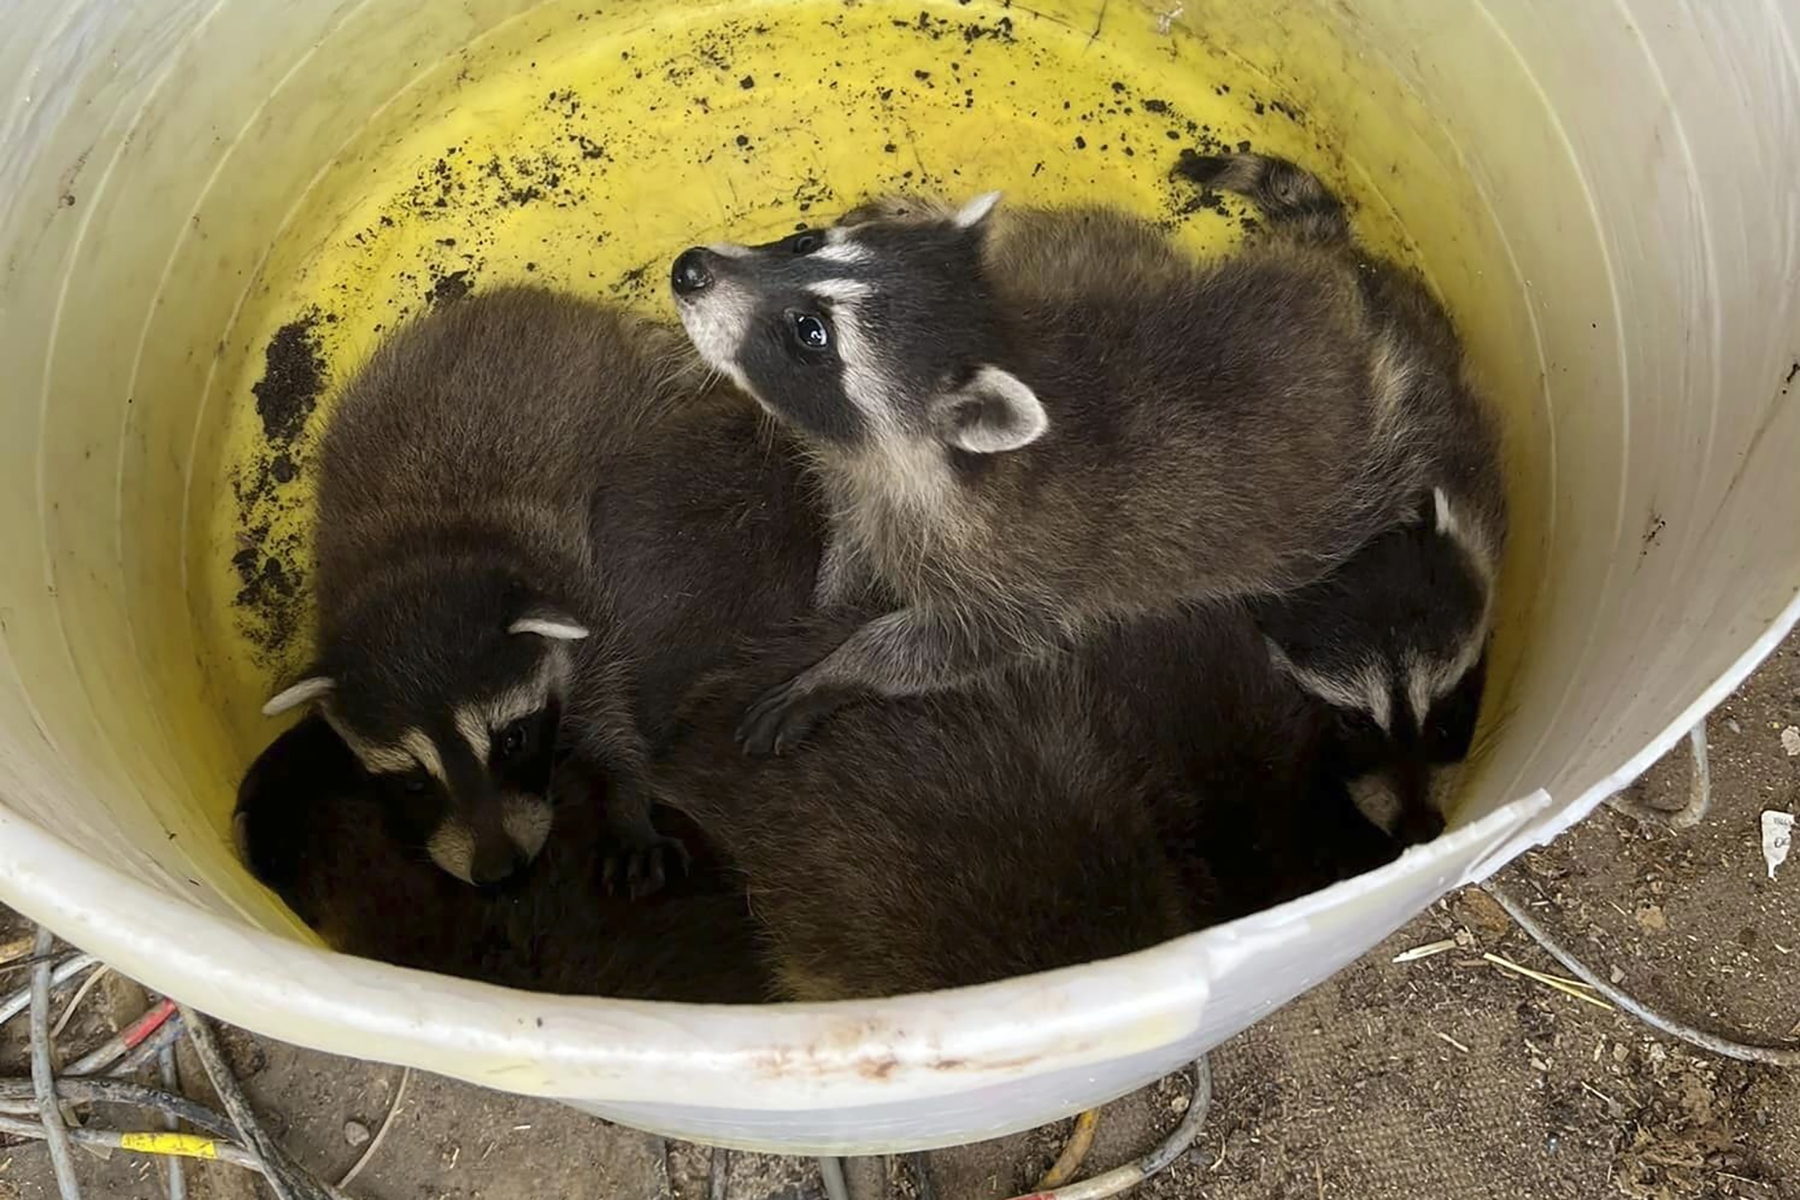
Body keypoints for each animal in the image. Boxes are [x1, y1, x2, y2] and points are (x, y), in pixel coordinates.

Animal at [261, 287, 709, 889]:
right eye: (414, 781)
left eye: (510, 741)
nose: (498, 872)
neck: (420, 558)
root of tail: (539, 300)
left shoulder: (582, 594)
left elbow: (609, 712)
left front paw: (625, 796)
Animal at [668, 154, 1495, 757]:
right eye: (805, 242)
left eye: (810, 333)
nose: (688, 268)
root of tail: (1342, 284)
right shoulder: (863, 483)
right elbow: (850, 542)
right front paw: (829, 598)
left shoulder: (1014, 575)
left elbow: (947, 647)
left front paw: (839, 667)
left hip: (1359, 487)